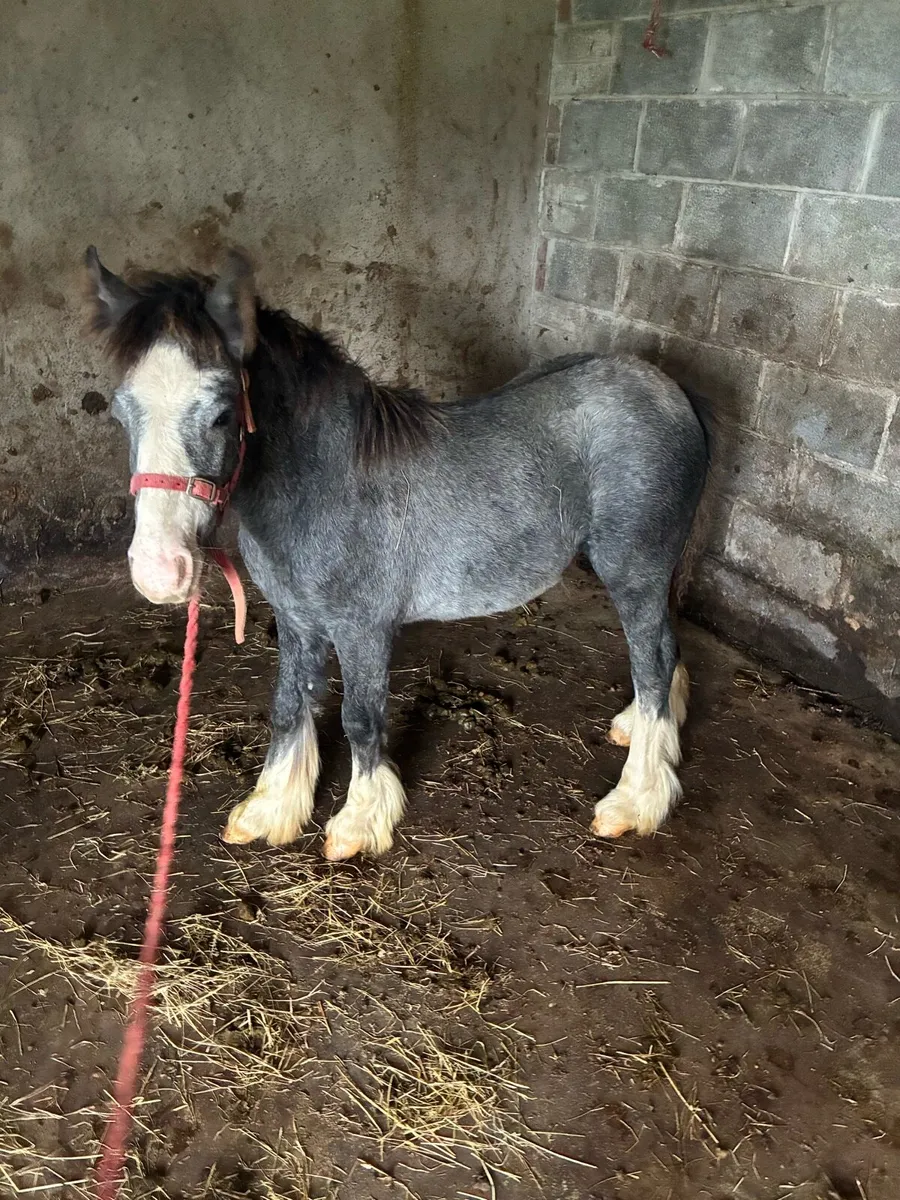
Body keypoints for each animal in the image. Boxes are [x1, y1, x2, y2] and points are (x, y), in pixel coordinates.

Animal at [83, 247, 710, 861]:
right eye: (121, 413)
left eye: (221, 414)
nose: (159, 571)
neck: (323, 485)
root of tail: (671, 393)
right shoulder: (296, 619)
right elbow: (289, 705)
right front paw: (272, 809)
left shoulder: (364, 628)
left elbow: (360, 720)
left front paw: (359, 824)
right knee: (663, 653)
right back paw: (641, 733)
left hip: (634, 571)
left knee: (653, 664)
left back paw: (635, 800)